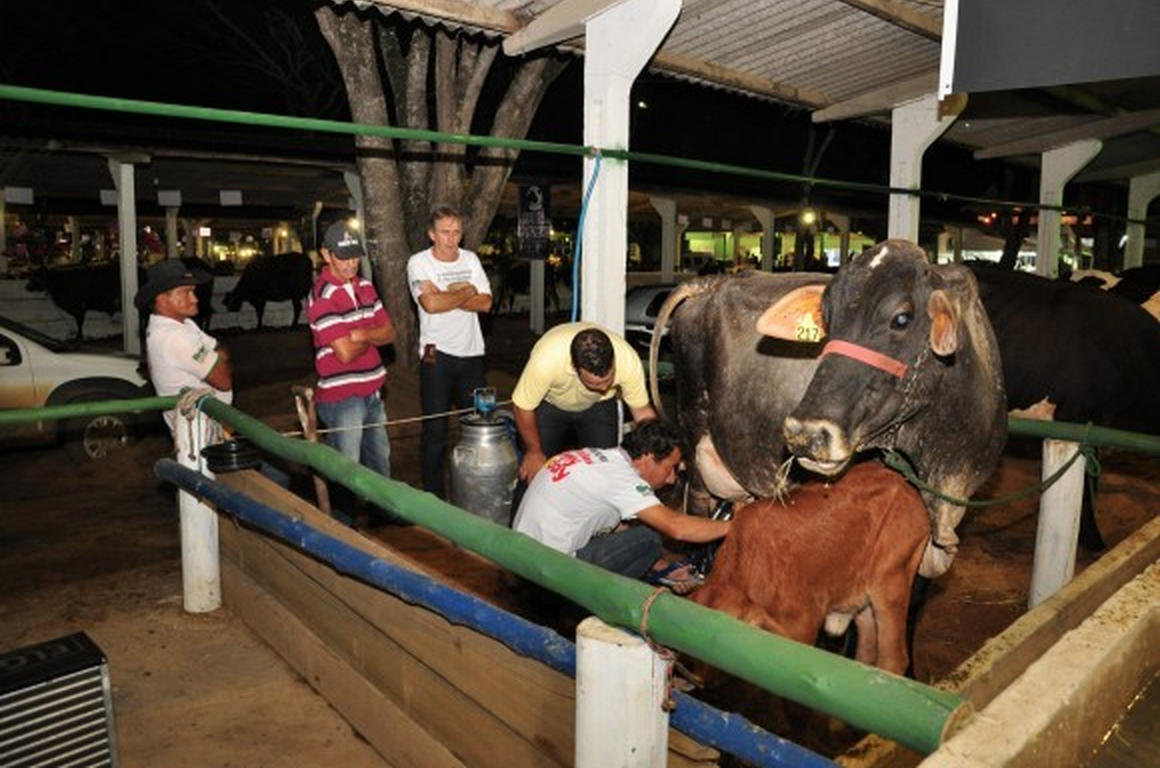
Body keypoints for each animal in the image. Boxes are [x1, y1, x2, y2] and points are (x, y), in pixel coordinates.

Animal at [691, 459, 928, 677]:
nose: (695, 677)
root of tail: (903, 484)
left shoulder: (802, 629)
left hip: (891, 583)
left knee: (894, 660)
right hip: (865, 604)